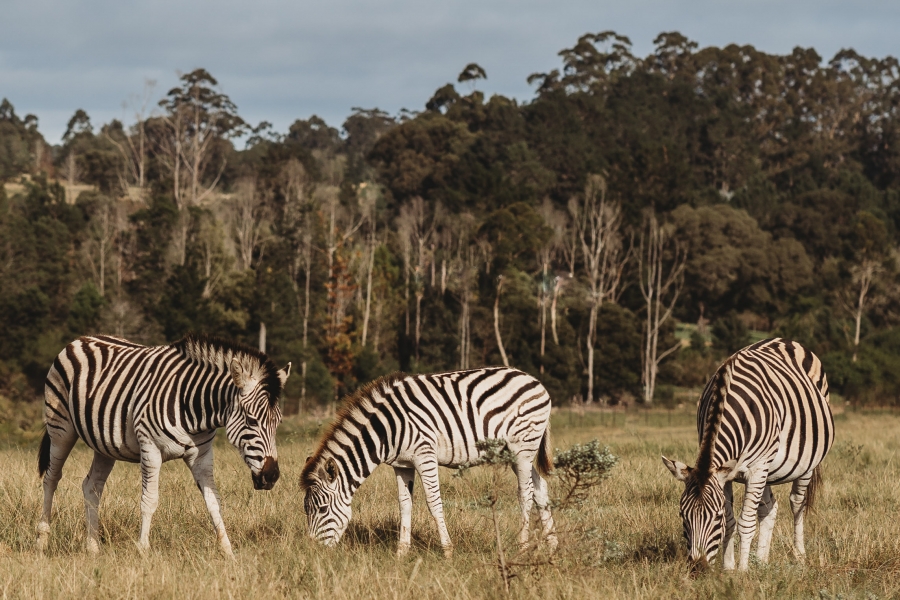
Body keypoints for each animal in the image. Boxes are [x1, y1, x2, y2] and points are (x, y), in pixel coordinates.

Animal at [34, 336, 288, 556]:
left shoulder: (202, 456)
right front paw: (143, 550)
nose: (272, 476)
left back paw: (93, 547)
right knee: (51, 479)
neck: (192, 405)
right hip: (61, 429)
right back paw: (42, 540)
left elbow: (214, 502)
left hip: (104, 445)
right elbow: (149, 500)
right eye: (252, 421)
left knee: (92, 486)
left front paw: (228, 552)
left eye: (278, 423)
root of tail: (81, 339)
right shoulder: (150, 448)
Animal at [302, 366, 556, 556]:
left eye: (322, 509)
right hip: (515, 452)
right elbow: (404, 505)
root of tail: (535, 380)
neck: (386, 431)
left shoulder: (425, 456)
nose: (313, 552)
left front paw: (448, 551)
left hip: (522, 448)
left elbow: (434, 503)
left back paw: (522, 547)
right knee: (540, 487)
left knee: (525, 494)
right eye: (306, 510)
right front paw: (401, 553)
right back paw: (553, 545)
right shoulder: (402, 465)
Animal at [656, 338, 832, 572]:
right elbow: (733, 521)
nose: (698, 568)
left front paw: (742, 570)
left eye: (716, 516)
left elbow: (745, 523)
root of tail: (784, 340)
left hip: (804, 464)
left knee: (797, 503)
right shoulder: (727, 474)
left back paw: (799, 556)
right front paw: (729, 567)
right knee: (769, 508)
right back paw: (762, 561)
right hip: (768, 469)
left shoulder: (756, 468)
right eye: (683, 515)